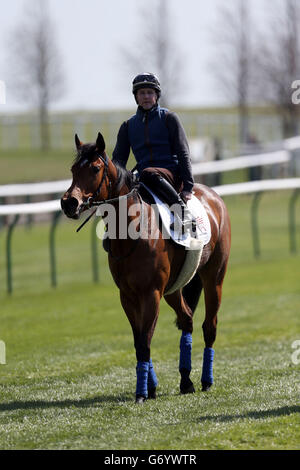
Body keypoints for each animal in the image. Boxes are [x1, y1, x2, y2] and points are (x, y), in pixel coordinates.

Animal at [60, 133, 230, 404]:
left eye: (95, 168)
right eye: (73, 169)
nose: (69, 203)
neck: (132, 231)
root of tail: (214, 196)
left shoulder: (151, 293)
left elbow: (145, 342)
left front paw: (142, 392)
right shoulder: (128, 296)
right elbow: (138, 339)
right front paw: (150, 388)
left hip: (214, 278)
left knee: (209, 326)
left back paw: (206, 380)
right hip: (173, 289)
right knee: (187, 319)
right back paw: (186, 380)